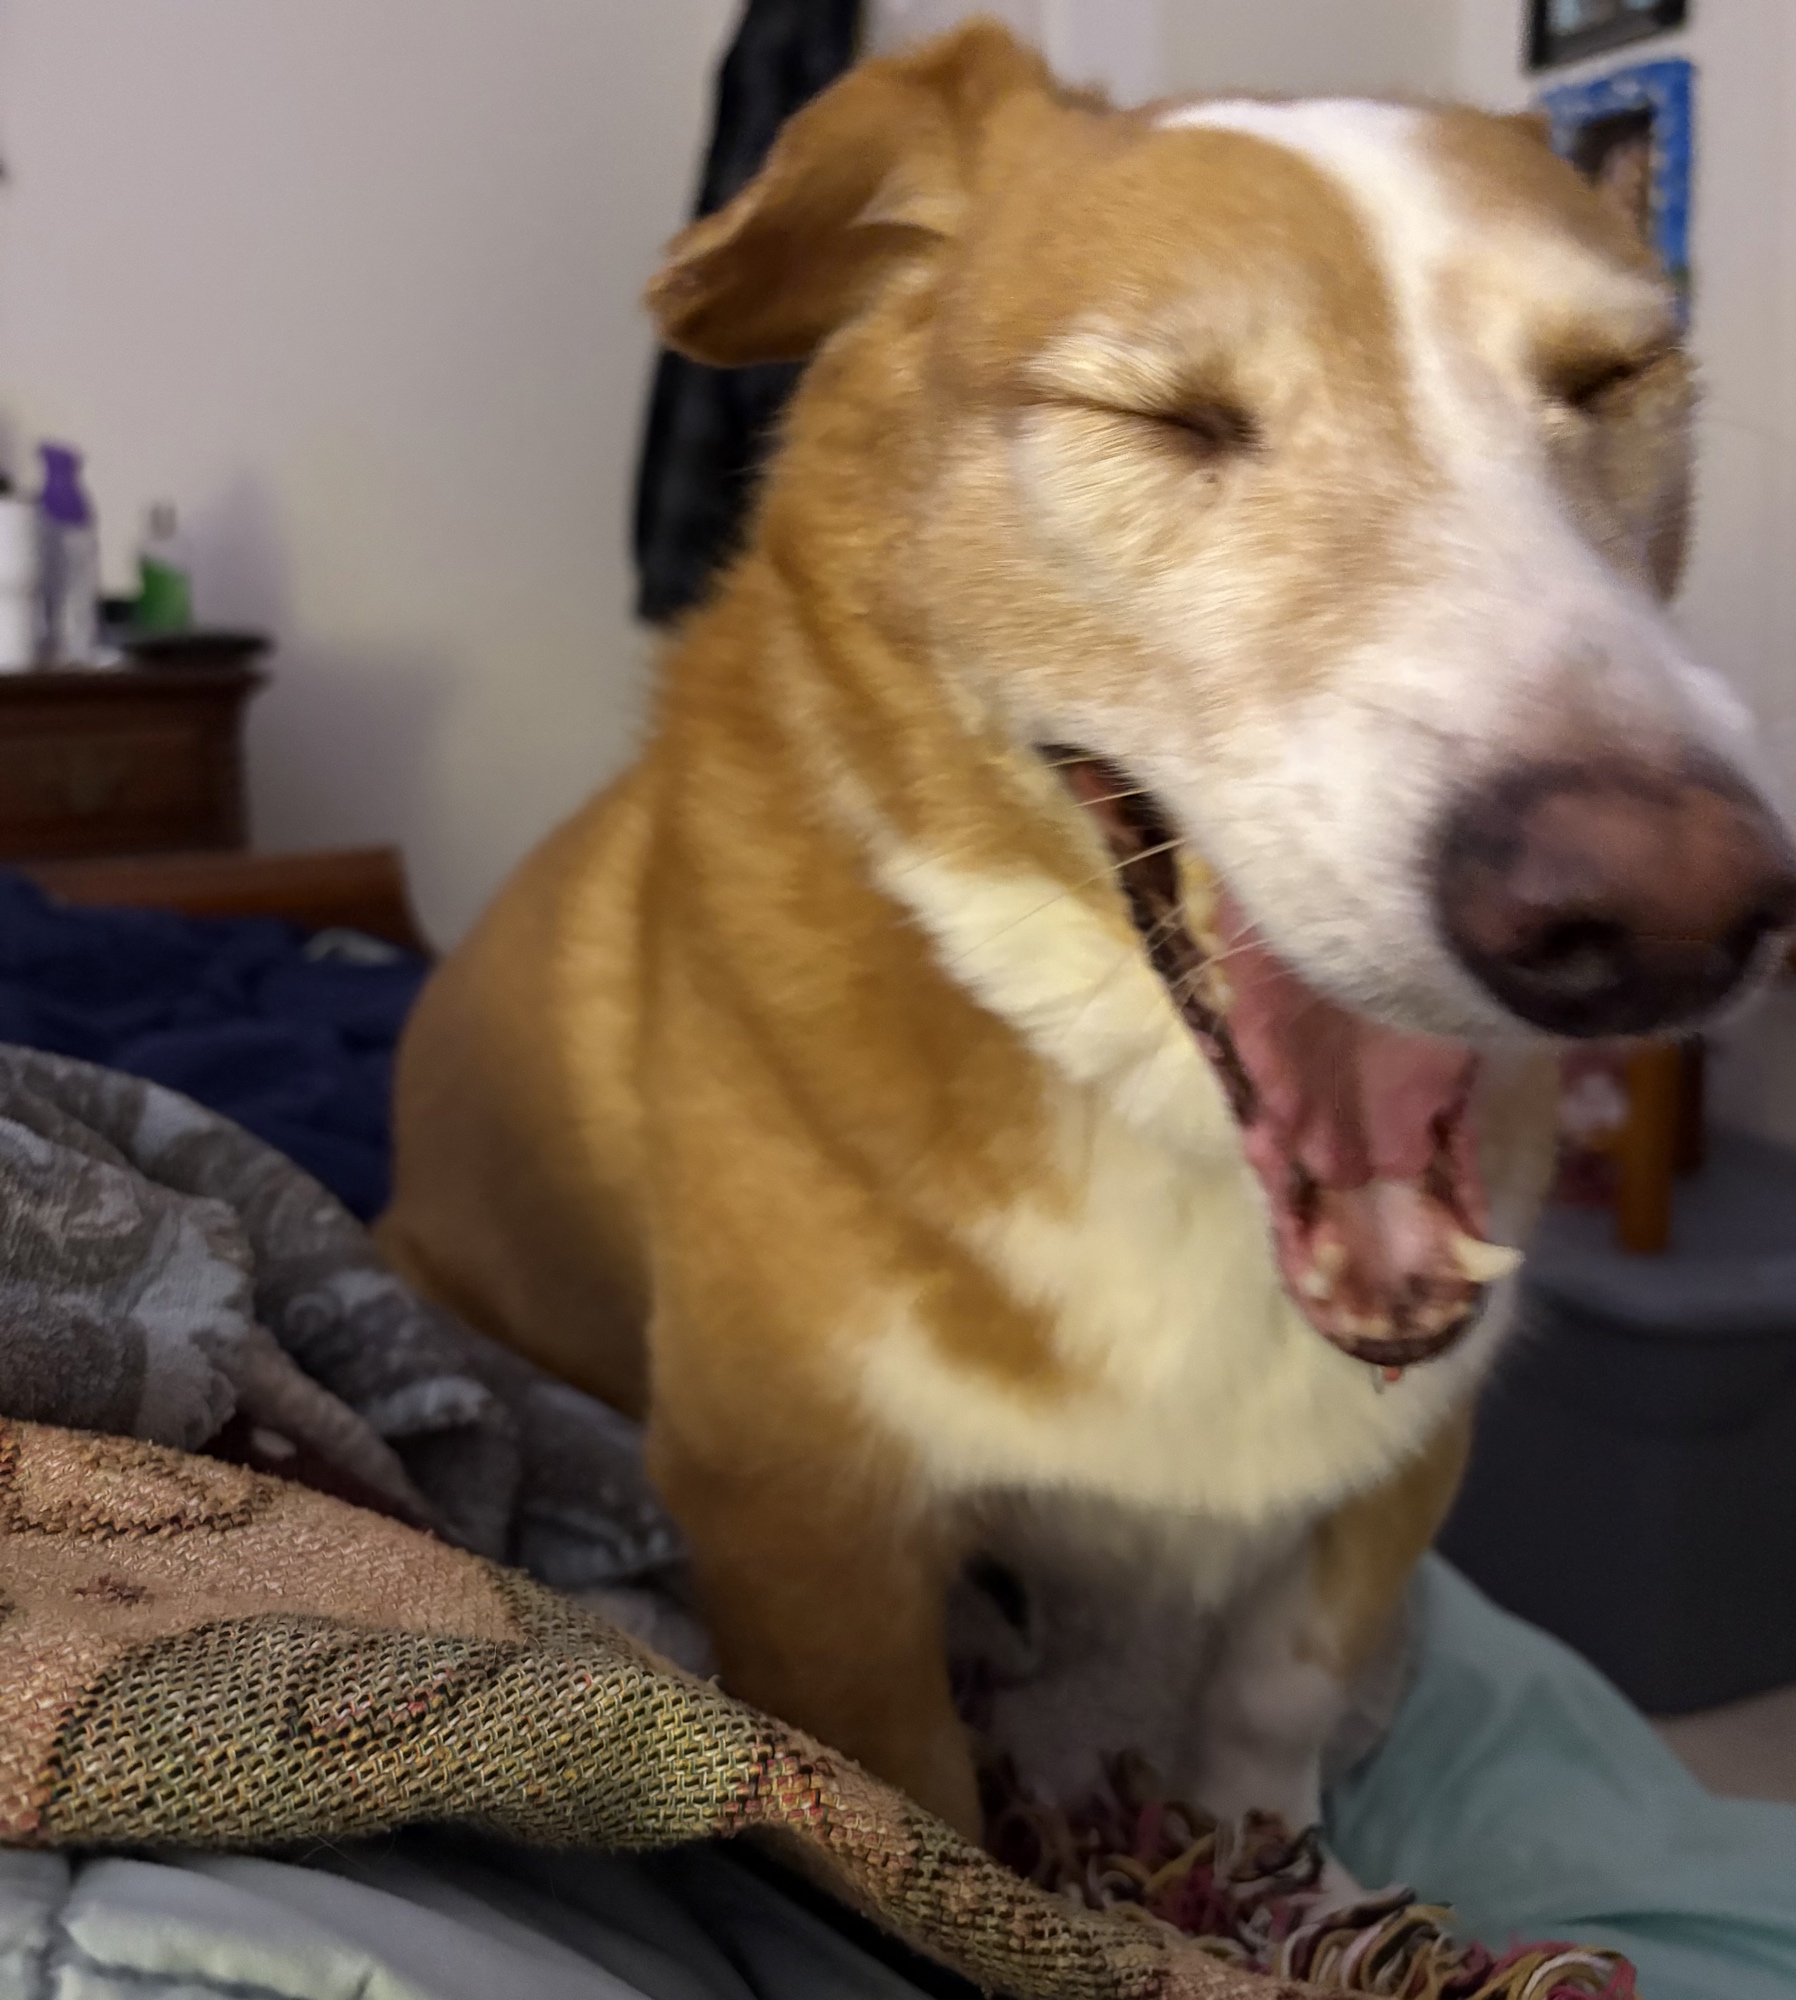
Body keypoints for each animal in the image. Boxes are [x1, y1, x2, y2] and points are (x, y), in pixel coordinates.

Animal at [381, 23, 1796, 1843]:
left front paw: (1273, 1866)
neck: (1155, 1121)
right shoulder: (804, 1523)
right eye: (1162, 414)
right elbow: (924, 1819)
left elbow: (1279, 1693)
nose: (1671, 919)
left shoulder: (1398, 1457)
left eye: (1611, 380)